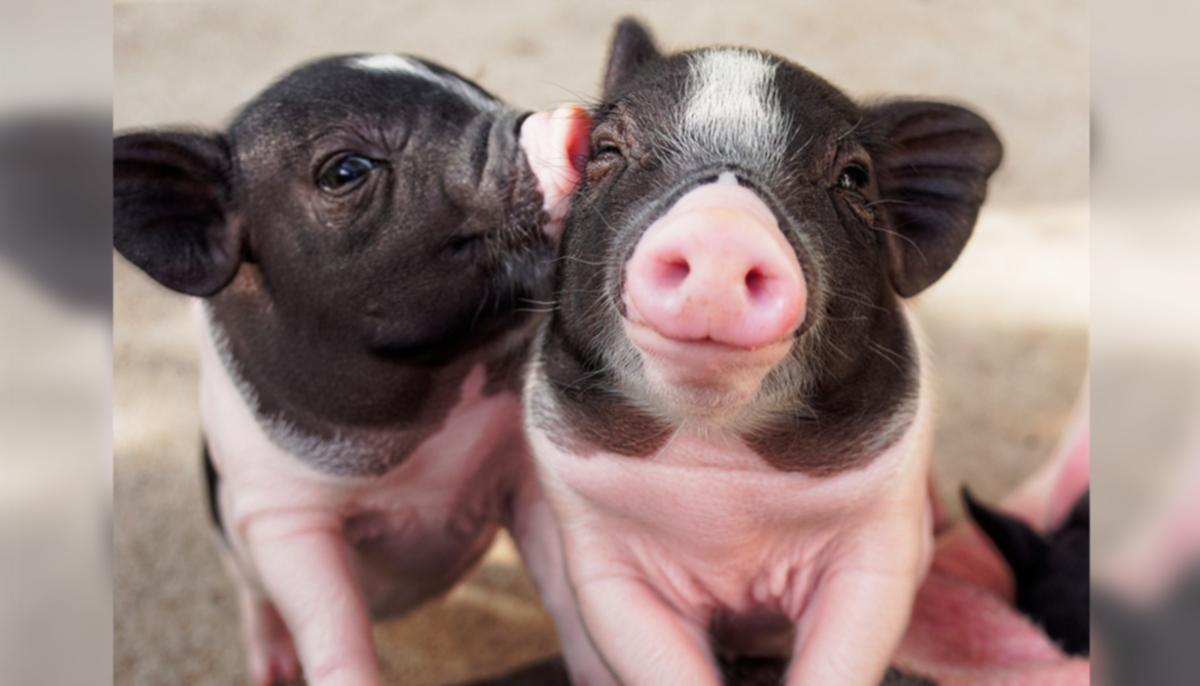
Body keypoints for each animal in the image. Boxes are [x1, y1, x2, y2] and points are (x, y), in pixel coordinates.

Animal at [114, 54, 589, 686]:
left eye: (484, 97)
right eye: (345, 170)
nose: (572, 120)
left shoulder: (518, 469)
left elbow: (565, 592)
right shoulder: (282, 513)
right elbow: (336, 637)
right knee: (254, 601)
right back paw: (272, 670)